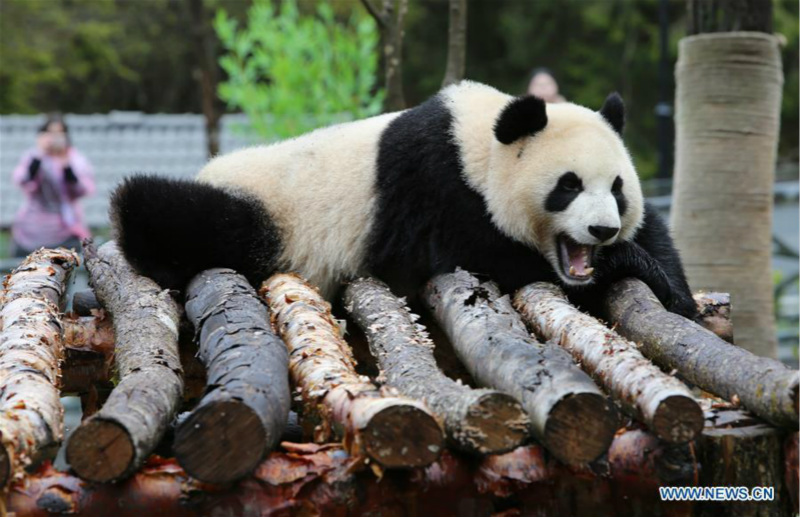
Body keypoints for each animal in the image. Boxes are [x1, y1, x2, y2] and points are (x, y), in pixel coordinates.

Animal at [109, 79, 696, 318]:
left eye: (617, 190)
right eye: (567, 186)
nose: (602, 231)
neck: (476, 144)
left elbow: (661, 241)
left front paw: (669, 288)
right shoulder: (431, 190)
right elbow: (476, 256)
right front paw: (625, 263)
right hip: (261, 208)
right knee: (159, 208)